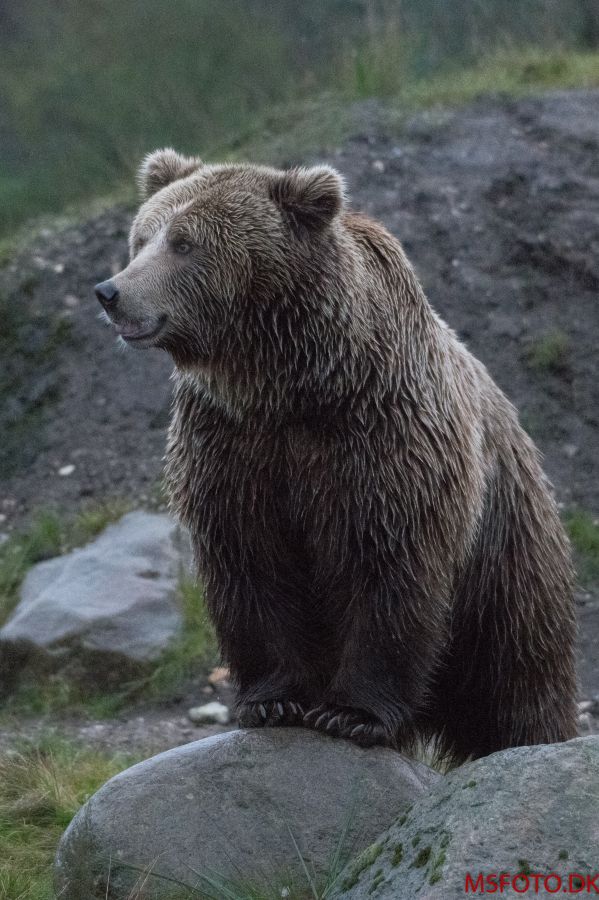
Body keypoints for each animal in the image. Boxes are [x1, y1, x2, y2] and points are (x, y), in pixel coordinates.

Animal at [96, 149, 580, 768]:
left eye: (184, 242)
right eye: (141, 238)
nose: (110, 291)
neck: (287, 384)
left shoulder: (383, 438)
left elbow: (388, 568)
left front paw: (351, 713)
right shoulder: (231, 449)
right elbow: (253, 565)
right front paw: (273, 700)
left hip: (507, 556)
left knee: (517, 675)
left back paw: (533, 740)